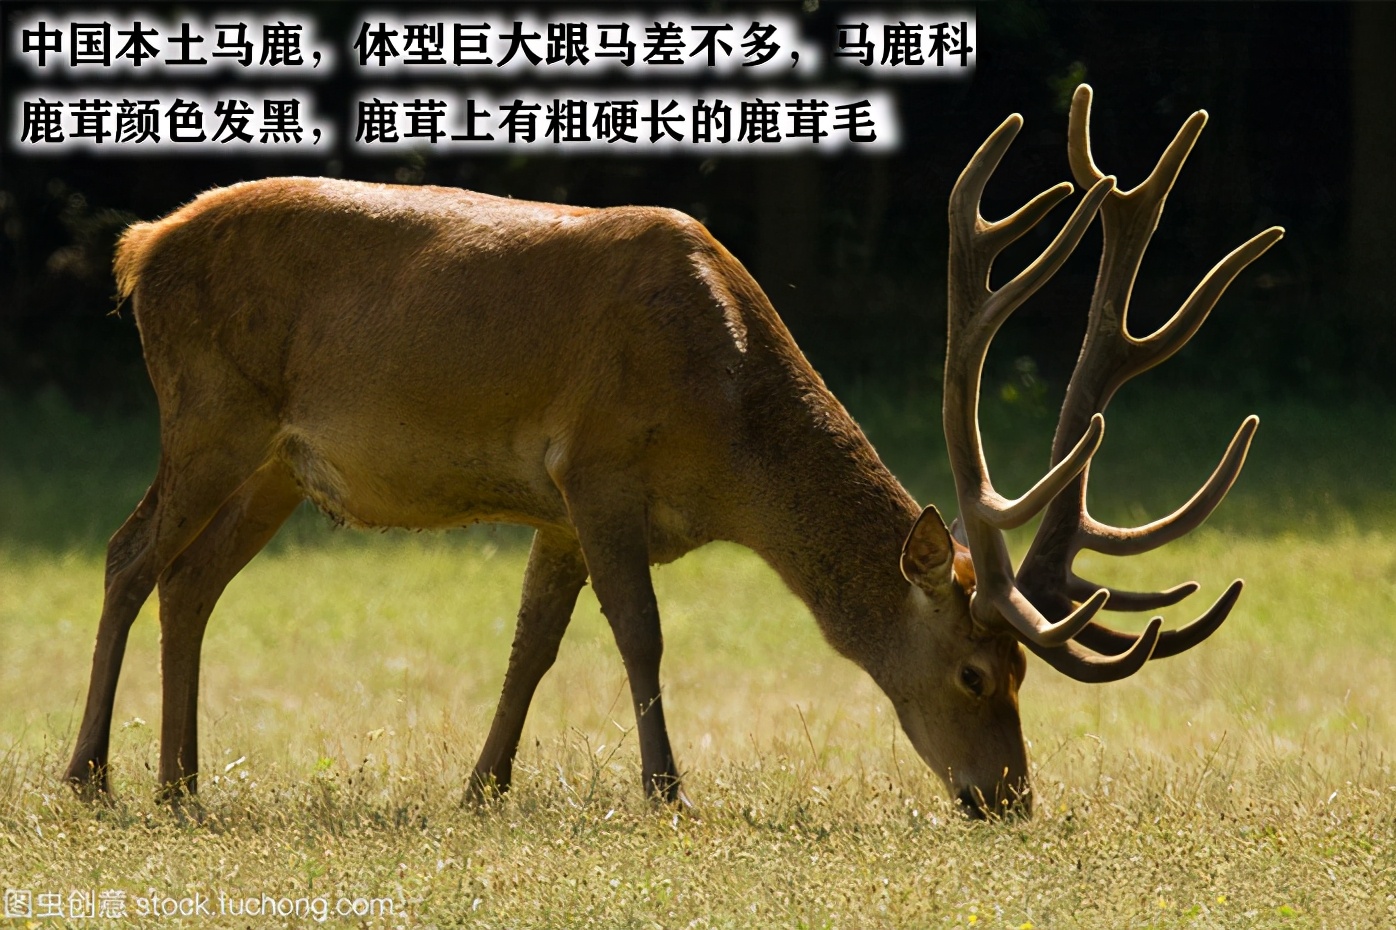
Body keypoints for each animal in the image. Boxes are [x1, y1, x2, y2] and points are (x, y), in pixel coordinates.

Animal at [65, 85, 1281, 818]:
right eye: (976, 672)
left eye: (1027, 672)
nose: (1009, 798)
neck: (727, 448)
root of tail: (139, 249)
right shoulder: (596, 468)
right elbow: (639, 637)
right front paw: (666, 792)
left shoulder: (554, 505)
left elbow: (531, 647)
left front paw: (483, 787)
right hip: (208, 408)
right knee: (130, 555)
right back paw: (91, 777)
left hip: (277, 461)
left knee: (191, 578)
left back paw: (181, 784)